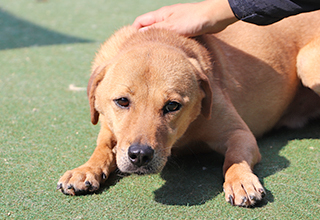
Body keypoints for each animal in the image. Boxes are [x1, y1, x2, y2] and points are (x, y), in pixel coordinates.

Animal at [57, 11, 320, 207]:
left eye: (172, 106)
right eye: (122, 101)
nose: (140, 155)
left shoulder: (240, 133)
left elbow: (234, 157)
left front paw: (241, 180)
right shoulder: (110, 129)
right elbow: (103, 147)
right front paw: (86, 170)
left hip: (307, 63)